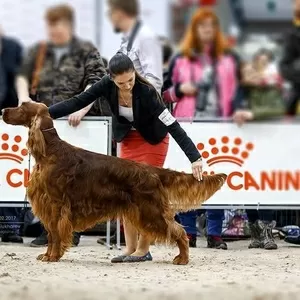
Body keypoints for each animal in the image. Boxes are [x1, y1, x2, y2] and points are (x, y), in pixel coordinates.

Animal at [2, 102, 226, 264]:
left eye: (22, 106)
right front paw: (48, 255)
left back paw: (182, 258)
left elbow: (56, 234)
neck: (50, 152)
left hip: (151, 211)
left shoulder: (56, 206)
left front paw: (53, 256)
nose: (3, 110)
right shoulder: (49, 207)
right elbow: (50, 234)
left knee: (179, 231)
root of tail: (153, 171)